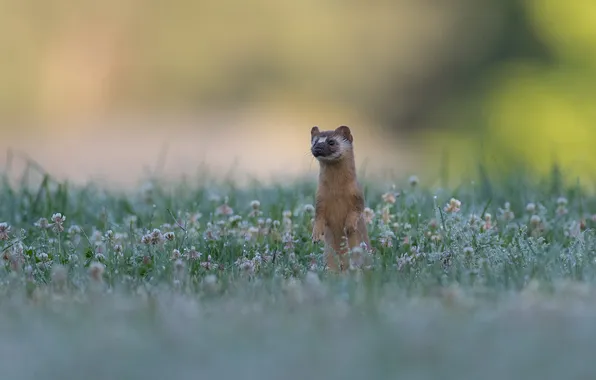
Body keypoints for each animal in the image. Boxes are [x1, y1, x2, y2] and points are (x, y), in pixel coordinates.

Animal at [310, 126, 370, 272]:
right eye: (314, 141)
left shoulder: (358, 195)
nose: (317, 148)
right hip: (328, 254)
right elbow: (319, 216)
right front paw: (316, 235)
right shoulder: (320, 198)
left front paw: (349, 225)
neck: (336, 192)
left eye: (331, 142)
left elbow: (356, 210)